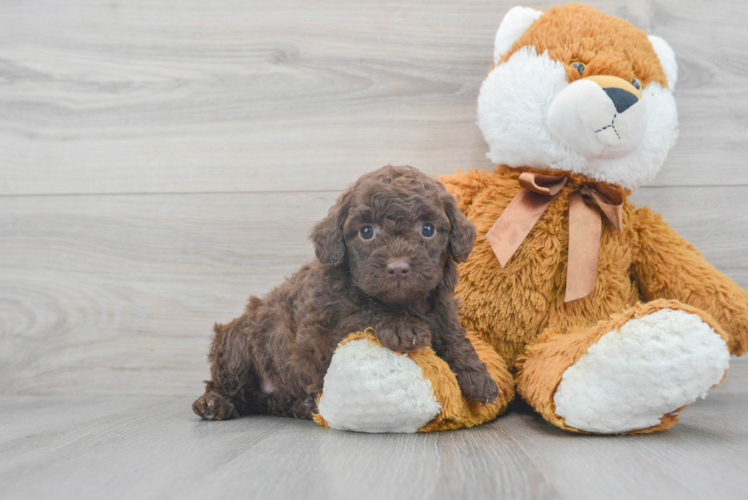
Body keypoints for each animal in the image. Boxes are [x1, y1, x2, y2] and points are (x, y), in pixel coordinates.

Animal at [193, 166, 500, 420]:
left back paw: (302, 405)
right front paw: (402, 326)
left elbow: (453, 335)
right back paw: (213, 404)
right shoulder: (320, 334)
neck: (406, 303)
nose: (398, 268)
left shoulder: (441, 307)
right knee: (226, 385)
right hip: (236, 346)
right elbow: (364, 311)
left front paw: (477, 375)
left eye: (427, 229)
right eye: (366, 232)